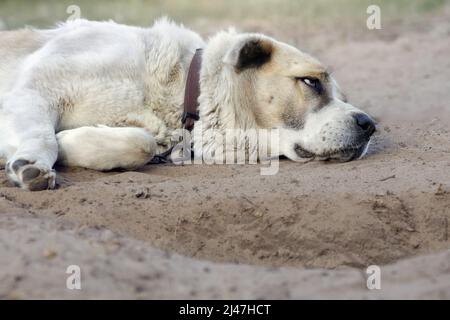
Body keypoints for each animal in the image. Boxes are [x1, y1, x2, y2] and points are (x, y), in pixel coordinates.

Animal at [0, 18, 376, 191]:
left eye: (344, 98)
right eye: (311, 82)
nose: (369, 124)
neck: (179, 86)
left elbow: (141, 143)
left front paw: (71, 142)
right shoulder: (34, 89)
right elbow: (43, 136)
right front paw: (35, 162)